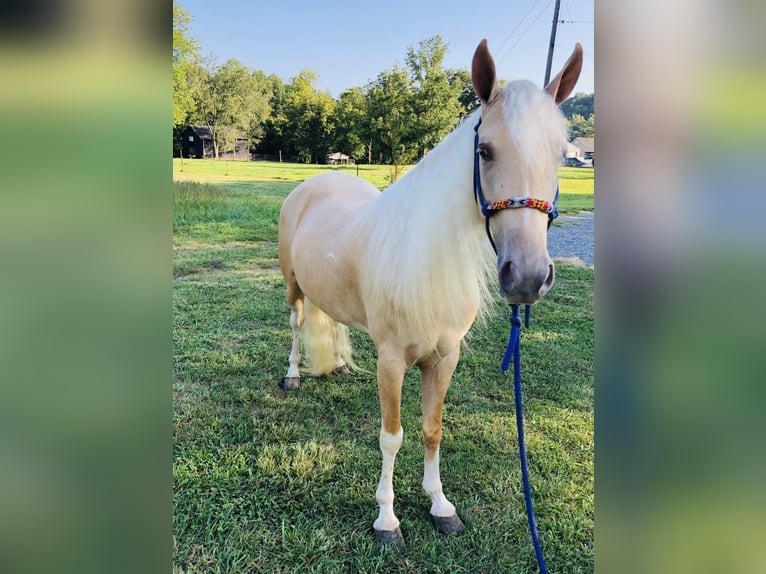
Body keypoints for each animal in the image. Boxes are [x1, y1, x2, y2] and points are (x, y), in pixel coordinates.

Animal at [280, 41, 584, 548]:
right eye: (484, 151)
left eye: (561, 154)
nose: (526, 276)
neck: (428, 266)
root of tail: (317, 181)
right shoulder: (391, 362)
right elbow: (392, 435)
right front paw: (387, 519)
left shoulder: (444, 359)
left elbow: (432, 430)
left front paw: (441, 506)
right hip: (293, 284)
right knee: (297, 323)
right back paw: (292, 376)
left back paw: (338, 364)